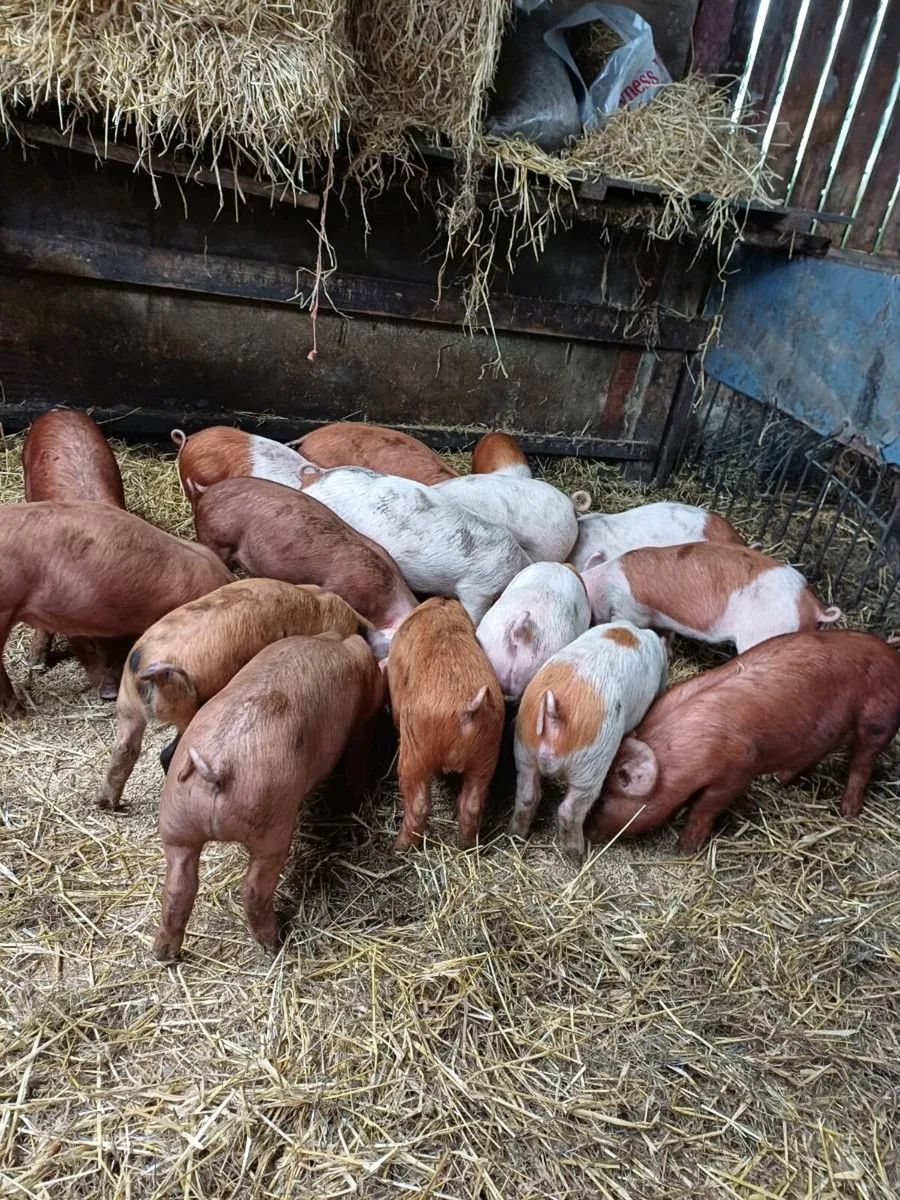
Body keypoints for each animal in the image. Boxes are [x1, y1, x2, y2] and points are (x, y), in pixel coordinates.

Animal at [96, 578, 367, 810]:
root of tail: (145, 667)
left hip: (127, 706)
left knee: (124, 750)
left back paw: (107, 804)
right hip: (185, 711)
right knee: (167, 754)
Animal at [153, 632, 384, 959]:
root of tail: (217, 765)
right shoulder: (365, 716)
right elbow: (357, 757)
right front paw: (358, 795)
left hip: (177, 824)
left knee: (176, 889)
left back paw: (164, 955)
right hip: (270, 827)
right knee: (251, 889)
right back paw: (274, 943)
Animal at [384, 598, 504, 850]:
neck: (441, 609)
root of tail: (468, 710)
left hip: (415, 751)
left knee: (418, 804)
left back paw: (398, 847)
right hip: (487, 754)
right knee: (472, 805)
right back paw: (466, 845)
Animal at [510, 622, 668, 860]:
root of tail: (555, 712)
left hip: (524, 746)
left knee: (527, 794)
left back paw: (515, 833)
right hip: (591, 762)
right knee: (570, 809)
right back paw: (577, 854)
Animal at [587, 630, 900, 855]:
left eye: (602, 801)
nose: (588, 835)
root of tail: (893, 658)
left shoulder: (737, 770)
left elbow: (705, 807)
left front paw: (684, 848)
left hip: (877, 722)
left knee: (861, 764)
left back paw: (847, 813)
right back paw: (781, 780)